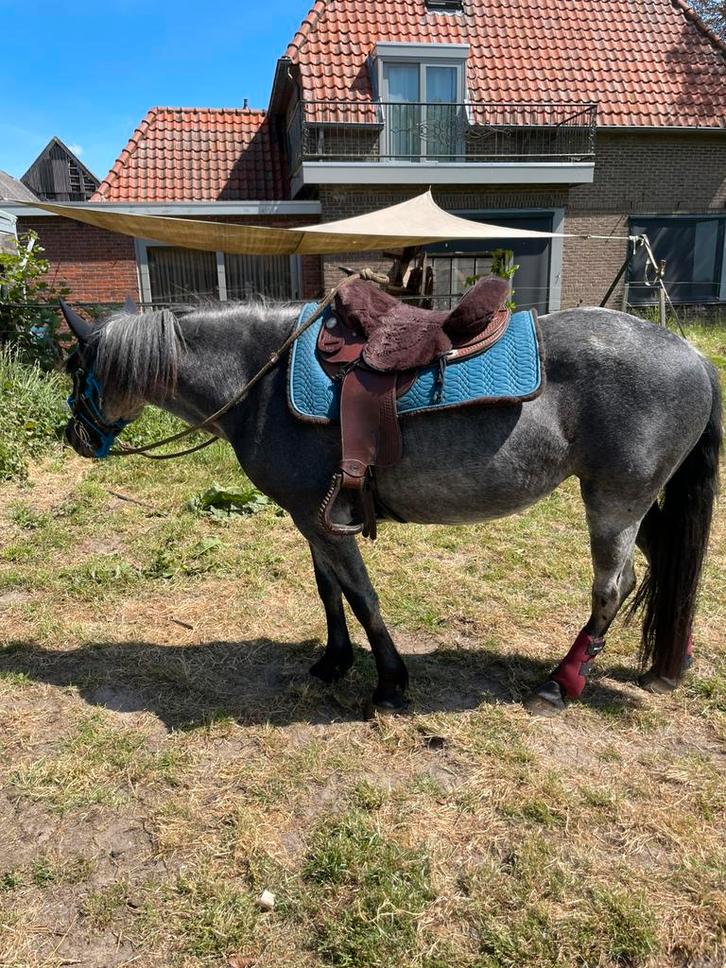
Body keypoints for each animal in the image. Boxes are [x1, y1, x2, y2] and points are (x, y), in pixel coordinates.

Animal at [60, 298, 722, 715]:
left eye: (75, 368)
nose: (76, 437)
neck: (260, 381)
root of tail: (693, 355)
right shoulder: (313, 519)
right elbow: (329, 591)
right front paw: (334, 661)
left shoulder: (325, 520)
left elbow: (361, 596)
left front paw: (389, 683)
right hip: (638, 502)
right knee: (668, 561)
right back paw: (671, 661)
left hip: (614, 501)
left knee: (613, 587)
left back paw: (560, 684)